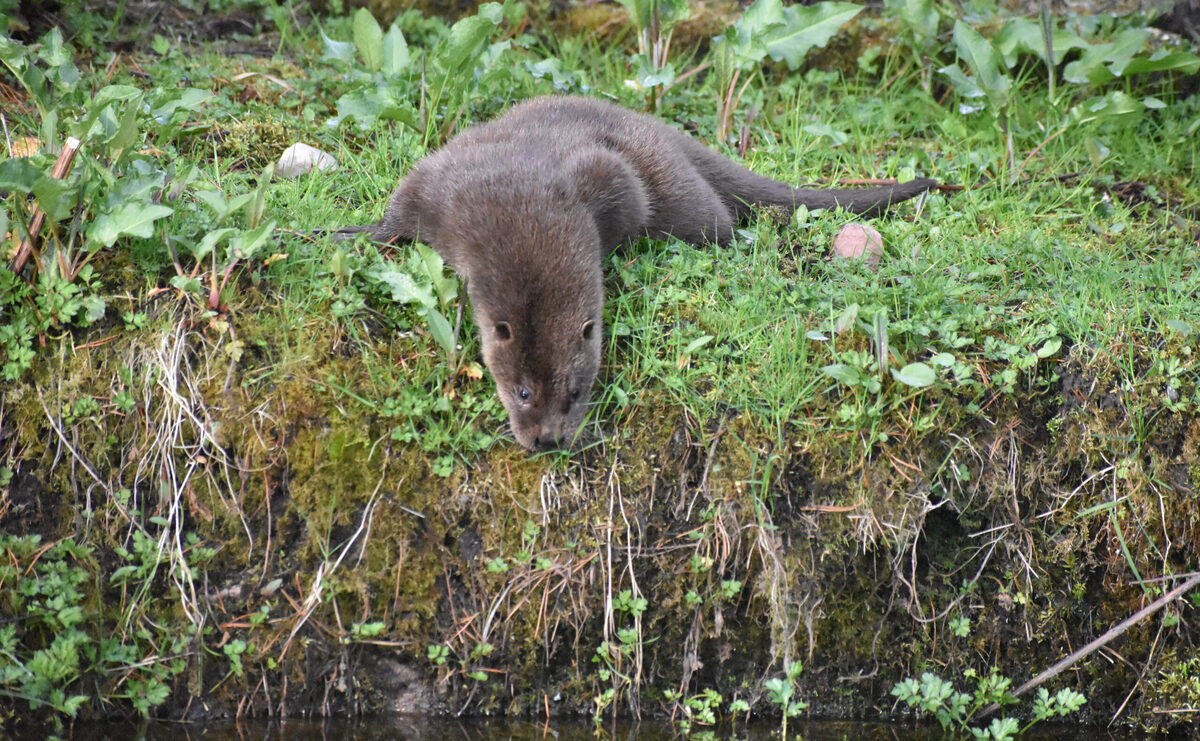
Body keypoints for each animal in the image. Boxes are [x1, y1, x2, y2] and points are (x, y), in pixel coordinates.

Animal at [338, 95, 936, 446]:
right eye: (523, 392)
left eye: (575, 391)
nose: (548, 440)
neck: (520, 203)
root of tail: (662, 131)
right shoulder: (444, 183)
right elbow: (399, 210)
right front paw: (350, 232)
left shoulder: (607, 178)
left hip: (683, 197)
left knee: (720, 222)